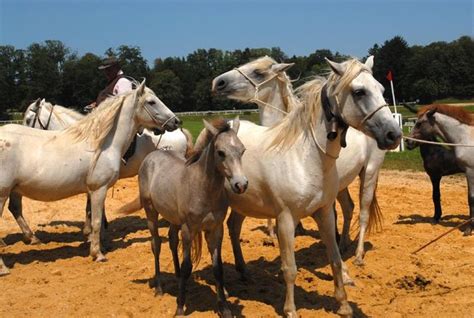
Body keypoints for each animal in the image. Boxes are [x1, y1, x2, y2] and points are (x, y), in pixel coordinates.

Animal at [0, 81, 180, 276]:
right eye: (151, 102)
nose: (176, 121)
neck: (101, 143)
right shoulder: (98, 189)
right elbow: (96, 221)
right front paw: (98, 253)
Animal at [211, 57, 400, 318]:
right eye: (359, 91)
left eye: (381, 90)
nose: (393, 134)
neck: (304, 154)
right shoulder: (286, 217)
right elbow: (291, 266)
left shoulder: (321, 210)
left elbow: (332, 257)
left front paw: (344, 294)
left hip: (369, 172)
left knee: (361, 213)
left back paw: (357, 255)